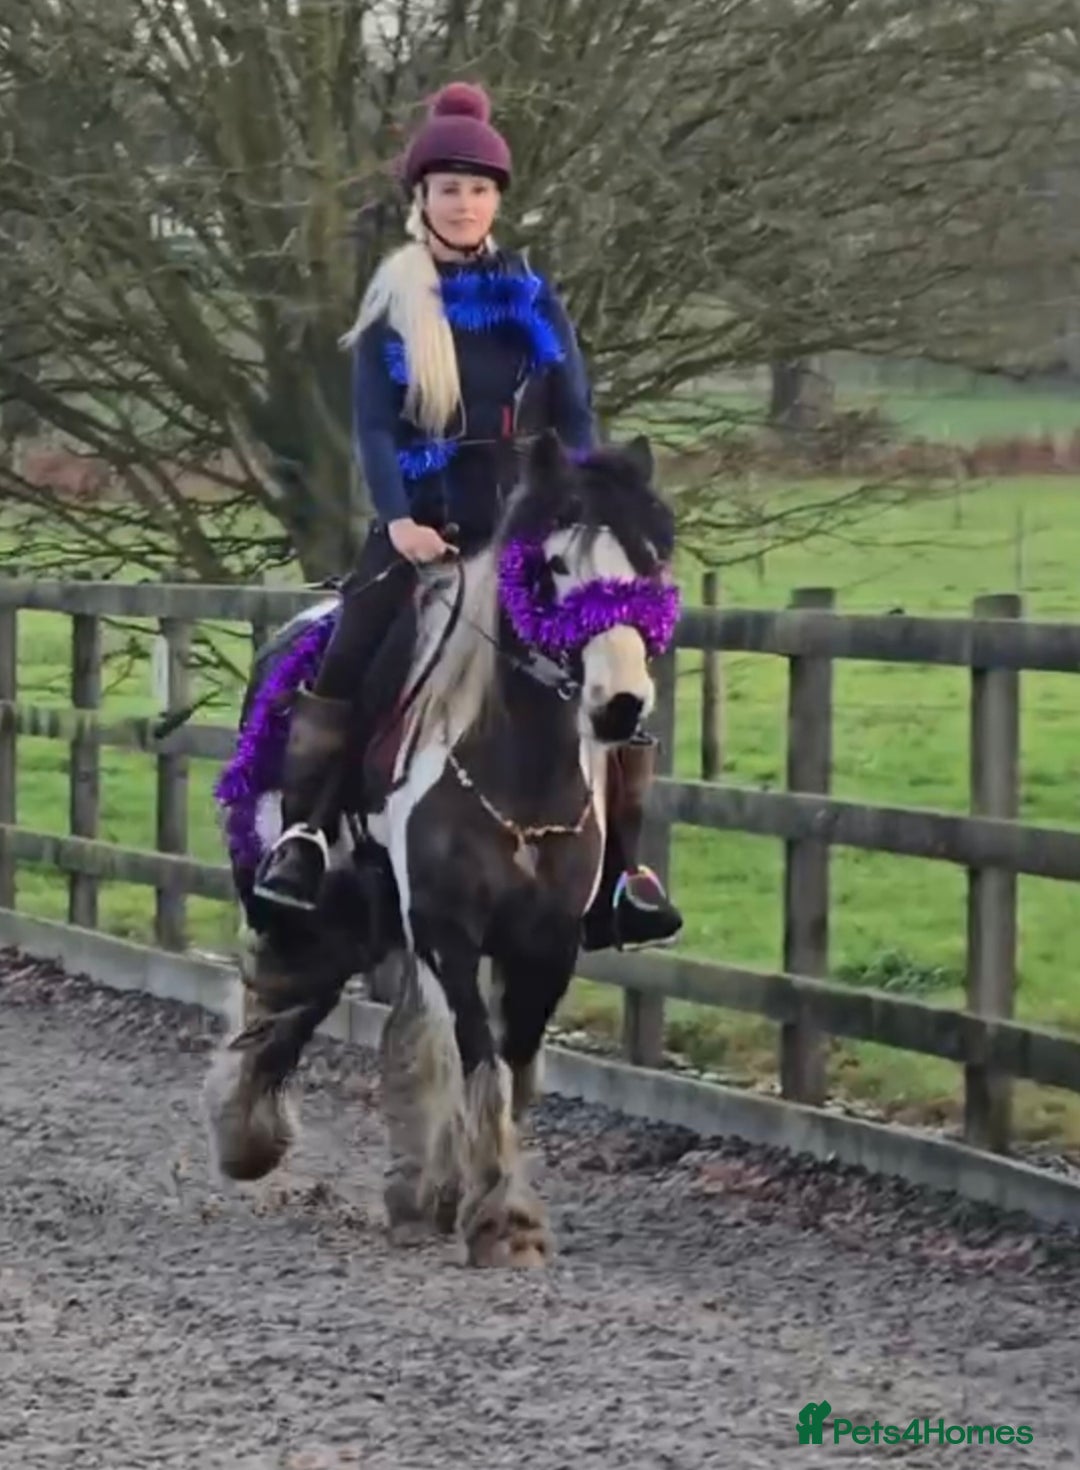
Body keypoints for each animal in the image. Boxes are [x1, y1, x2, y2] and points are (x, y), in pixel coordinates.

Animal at [203, 428, 680, 1267]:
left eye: (648, 562)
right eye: (554, 566)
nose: (620, 706)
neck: (518, 778)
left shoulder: (546, 944)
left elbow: (509, 1067)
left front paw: (485, 1200)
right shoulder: (446, 928)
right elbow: (477, 1052)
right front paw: (502, 1222)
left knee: (393, 1029)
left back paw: (418, 1187)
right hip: (307, 901)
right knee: (279, 995)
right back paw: (247, 1134)